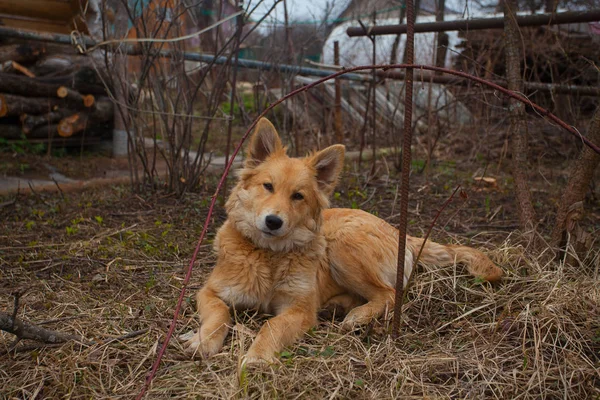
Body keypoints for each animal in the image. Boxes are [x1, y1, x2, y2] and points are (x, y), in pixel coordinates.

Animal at [185, 117, 504, 364]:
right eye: (268, 186)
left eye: (298, 196)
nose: (273, 222)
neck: (269, 254)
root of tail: (399, 232)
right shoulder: (209, 291)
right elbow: (219, 313)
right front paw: (204, 340)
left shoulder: (299, 309)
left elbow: (272, 326)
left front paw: (258, 356)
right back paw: (339, 305)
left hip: (341, 244)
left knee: (389, 293)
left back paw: (357, 316)